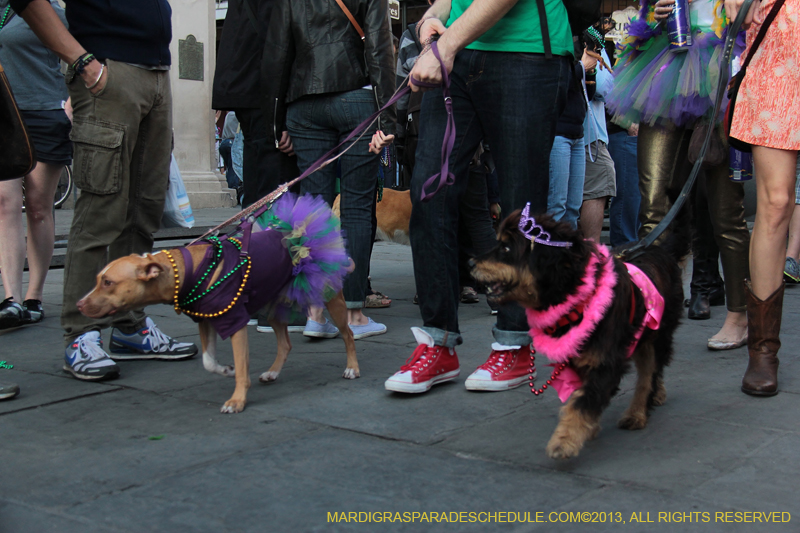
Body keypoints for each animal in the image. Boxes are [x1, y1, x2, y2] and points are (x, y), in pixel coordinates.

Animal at [78, 247, 360, 414]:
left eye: (108, 282)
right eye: (98, 280)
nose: (79, 304)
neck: (187, 270)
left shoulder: (234, 323)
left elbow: (242, 370)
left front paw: (237, 400)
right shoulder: (206, 322)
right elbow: (208, 361)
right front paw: (227, 370)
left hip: (330, 298)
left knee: (348, 335)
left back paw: (352, 368)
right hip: (273, 303)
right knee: (285, 343)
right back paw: (272, 372)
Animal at [468, 210, 688, 460]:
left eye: (506, 248)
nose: (470, 263)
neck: (578, 296)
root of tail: (661, 250)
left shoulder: (605, 362)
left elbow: (583, 401)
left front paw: (564, 441)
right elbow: (581, 396)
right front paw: (586, 429)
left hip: (656, 334)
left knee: (649, 374)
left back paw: (637, 413)